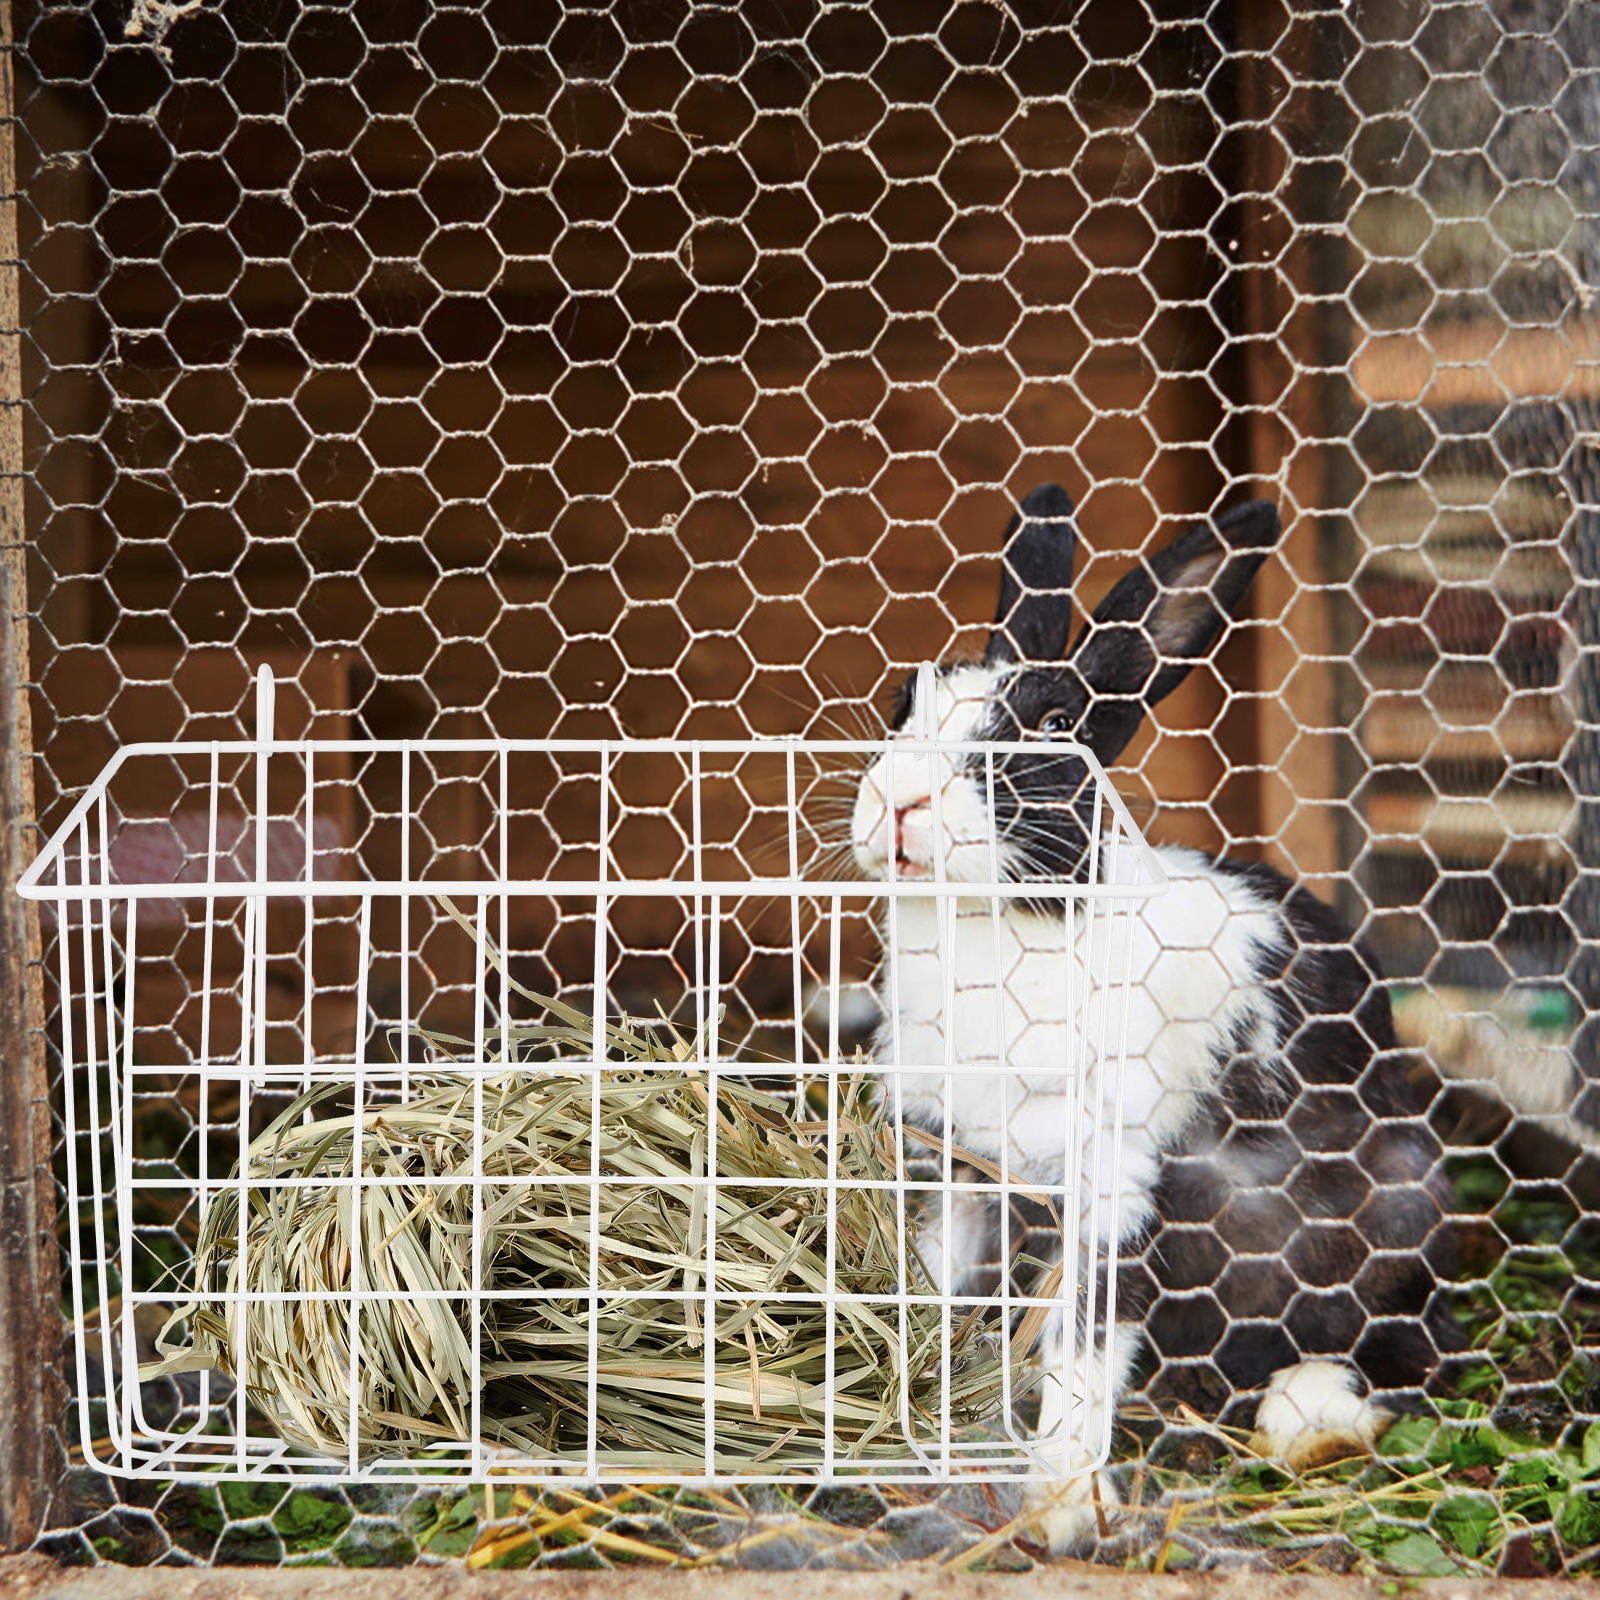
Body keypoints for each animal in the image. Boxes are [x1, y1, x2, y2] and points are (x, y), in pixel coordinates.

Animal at [850, 484, 1453, 1551]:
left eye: (1054, 725)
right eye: (901, 704)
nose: (901, 803)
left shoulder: (1114, 1183)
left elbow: (1083, 1344)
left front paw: (1061, 1508)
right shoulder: (955, 1169)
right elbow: (936, 1286)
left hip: (1402, 1207)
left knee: (1410, 1353)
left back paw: (1310, 1423)